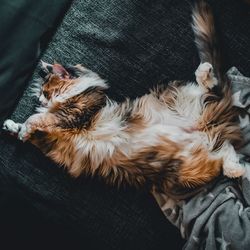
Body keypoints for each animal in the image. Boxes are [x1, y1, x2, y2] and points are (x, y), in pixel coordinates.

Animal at [1, 0, 244, 193]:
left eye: (46, 92)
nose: (41, 100)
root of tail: (201, 126)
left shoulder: (75, 114)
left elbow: (36, 119)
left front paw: (23, 128)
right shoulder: (50, 137)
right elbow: (31, 128)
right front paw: (12, 127)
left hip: (179, 99)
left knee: (211, 88)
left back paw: (205, 70)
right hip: (189, 167)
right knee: (225, 149)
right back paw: (237, 170)